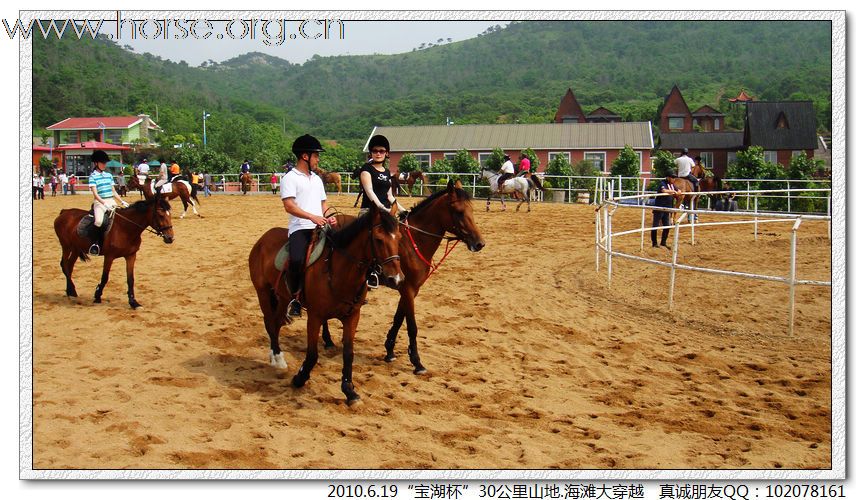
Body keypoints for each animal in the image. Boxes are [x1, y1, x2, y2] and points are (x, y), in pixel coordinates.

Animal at [248, 205, 404, 404]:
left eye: (399, 237)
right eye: (378, 239)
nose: (396, 279)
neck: (338, 270)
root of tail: (264, 238)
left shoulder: (352, 316)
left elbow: (348, 353)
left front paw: (349, 390)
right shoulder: (315, 316)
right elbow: (312, 354)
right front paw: (299, 378)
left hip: (282, 298)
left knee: (276, 323)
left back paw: (274, 357)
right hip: (263, 293)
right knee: (269, 323)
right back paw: (278, 359)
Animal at [322, 180, 486, 376]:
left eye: (471, 210)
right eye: (459, 212)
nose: (479, 243)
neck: (412, 242)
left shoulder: (410, 289)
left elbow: (399, 319)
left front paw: (389, 350)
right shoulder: (407, 289)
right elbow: (412, 326)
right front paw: (417, 362)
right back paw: (327, 339)